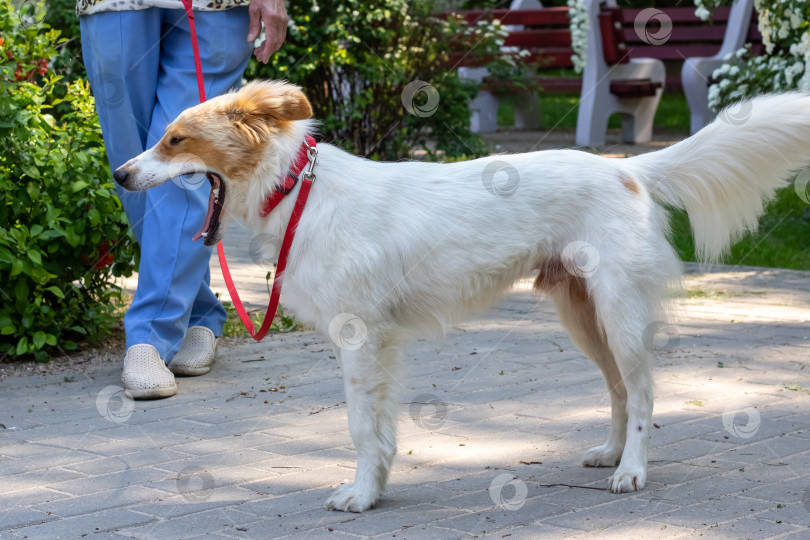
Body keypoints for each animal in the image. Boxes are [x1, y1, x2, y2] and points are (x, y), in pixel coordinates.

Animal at [112, 80, 808, 510]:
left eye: (174, 140)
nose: (118, 173)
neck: (299, 192)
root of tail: (627, 169)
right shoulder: (378, 345)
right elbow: (378, 427)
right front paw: (376, 488)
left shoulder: (360, 339)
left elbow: (360, 426)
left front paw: (361, 495)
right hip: (585, 315)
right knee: (618, 389)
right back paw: (610, 454)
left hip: (619, 313)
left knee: (641, 393)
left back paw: (631, 469)